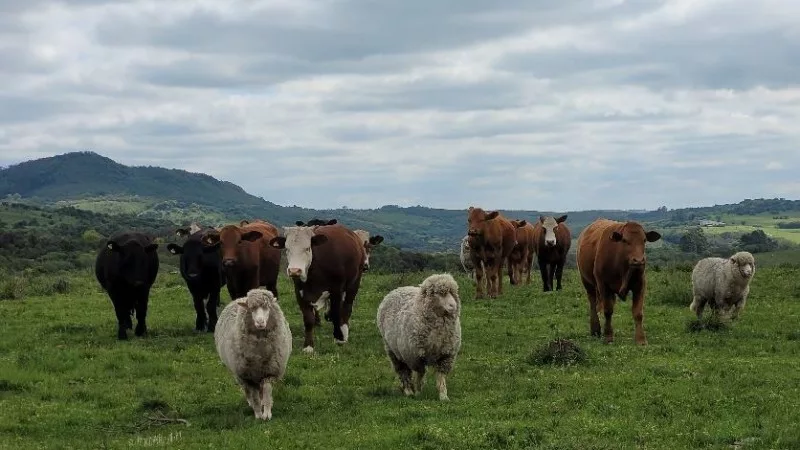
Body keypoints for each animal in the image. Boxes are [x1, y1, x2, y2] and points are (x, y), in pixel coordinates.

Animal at [214, 288, 292, 418]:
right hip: (239, 373)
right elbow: (254, 396)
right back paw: (251, 403)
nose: (260, 322)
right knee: (247, 391)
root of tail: (240, 298)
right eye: (251, 308)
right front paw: (258, 414)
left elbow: (266, 391)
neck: (260, 353)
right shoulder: (248, 375)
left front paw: (267, 413)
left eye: (267, 307)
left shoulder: (269, 371)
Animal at [272, 223, 366, 354]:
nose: (294, 270)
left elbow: (336, 313)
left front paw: (339, 337)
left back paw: (344, 331)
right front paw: (308, 346)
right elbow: (308, 319)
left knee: (347, 307)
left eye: (307, 248)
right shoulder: (300, 292)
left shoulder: (336, 290)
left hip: (354, 283)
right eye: (287, 249)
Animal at [376, 270, 462, 400]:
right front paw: (418, 391)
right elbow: (420, 374)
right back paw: (408, 391)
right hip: (393, 351)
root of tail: (398, 289)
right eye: (439, 294)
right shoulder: (415, 356)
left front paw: (443, 396)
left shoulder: (446, 355)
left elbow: (441, 377)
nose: (453, 306)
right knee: (403, 371)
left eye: (452, 293)